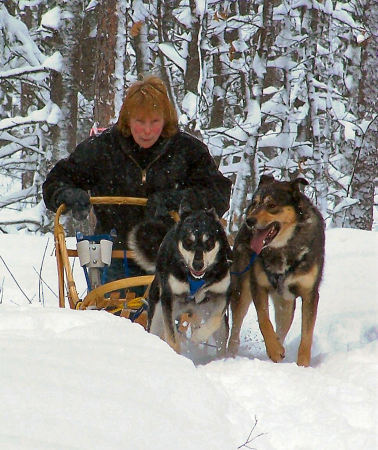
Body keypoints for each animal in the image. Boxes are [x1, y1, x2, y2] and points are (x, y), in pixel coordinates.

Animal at [227, 174, 324, 368]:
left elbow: (307, 334)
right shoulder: (257, 285)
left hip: (285, 304)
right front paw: (273, 349)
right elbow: (264, 320)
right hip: (241, 291)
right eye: (255, 203)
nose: (249, 220)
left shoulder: (310, 293)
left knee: (282, 329)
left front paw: (302, 365)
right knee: (235, 331)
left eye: (271, 205)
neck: (284, 248)